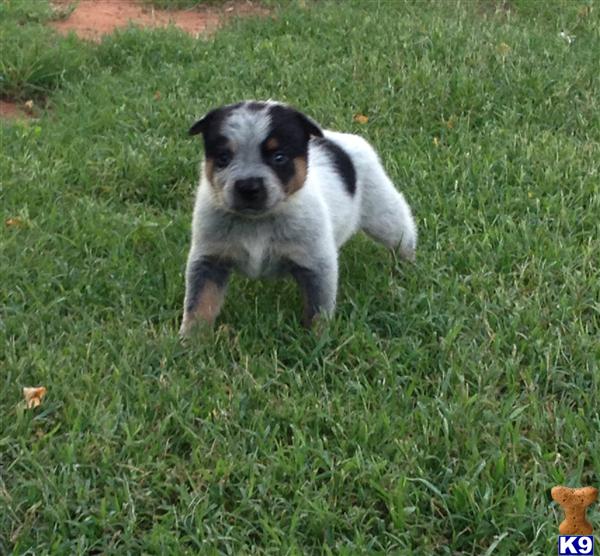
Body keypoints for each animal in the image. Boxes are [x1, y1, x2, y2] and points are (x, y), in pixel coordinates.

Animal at [179, 99, 418, 334]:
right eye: (223, 158)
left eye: (279, 157)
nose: (248, 187)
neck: (259, 221)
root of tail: (341, 139)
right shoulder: (209, 259)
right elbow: (199, 304)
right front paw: (192, 340)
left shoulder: (316, 263)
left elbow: (318, 309)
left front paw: (319, 340)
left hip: (383, 211)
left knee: (402, 234)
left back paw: (407, 268)